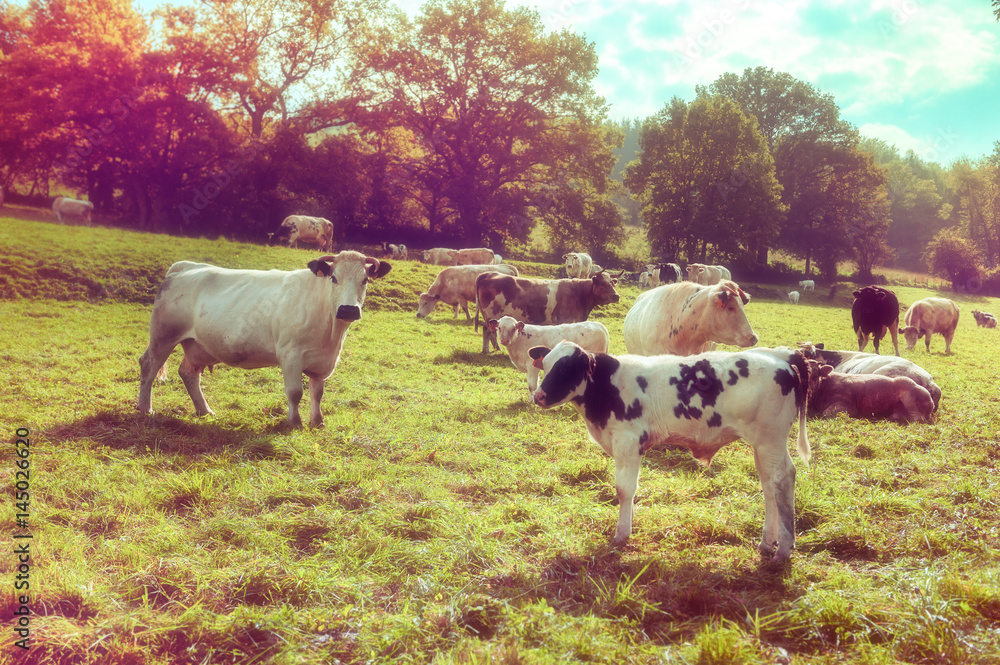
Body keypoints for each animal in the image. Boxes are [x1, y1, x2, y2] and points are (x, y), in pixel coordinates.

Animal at [528, 340, 816, 564]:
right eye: (546, 365)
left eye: (566, 368)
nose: (538, 396)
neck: (608, 386)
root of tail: (782, 355)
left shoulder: (627, 443)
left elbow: (624, 490)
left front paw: (621, 534)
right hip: (764, 445)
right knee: (770, 484)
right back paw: (767, 542)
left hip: (770, 439)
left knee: (781, 481)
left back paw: (783, 549)